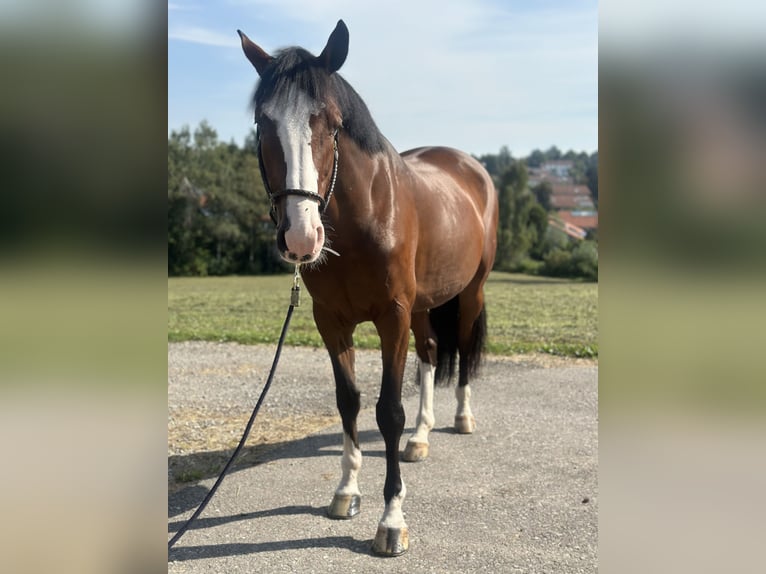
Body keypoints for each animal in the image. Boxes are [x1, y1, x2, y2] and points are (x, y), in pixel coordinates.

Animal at [240, 20, 504, 556]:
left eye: (331, 123)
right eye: (262, 122)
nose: (300, 237)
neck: (363, 218)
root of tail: (470, 167)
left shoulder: (392, 316)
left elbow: (388, 411)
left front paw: (392, 520)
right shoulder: (331, 320)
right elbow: (349, 401)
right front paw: (345, 492)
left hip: (469, 293)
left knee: (464, 351)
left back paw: (461, 418)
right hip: (424, 305)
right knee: (430, 352)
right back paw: (421, 438)